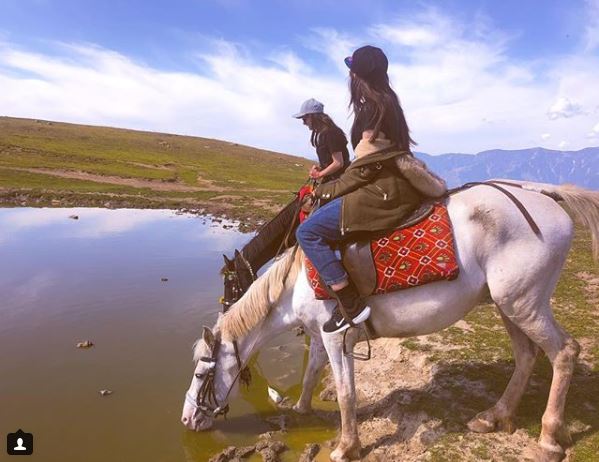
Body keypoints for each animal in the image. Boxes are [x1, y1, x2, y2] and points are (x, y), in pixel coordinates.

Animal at [182, 181, 599, 462]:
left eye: (202, 373)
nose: (187, 419)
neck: (295, 282)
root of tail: (546, 197)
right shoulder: (320, 335)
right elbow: (312, 373)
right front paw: (300, 410)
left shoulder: (336, 338)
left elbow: (346, 391)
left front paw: (346, 447)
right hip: (508, 305)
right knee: (527, 355)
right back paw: (493, 417)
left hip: (524, 304)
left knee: (564, 351)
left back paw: (548, 440)